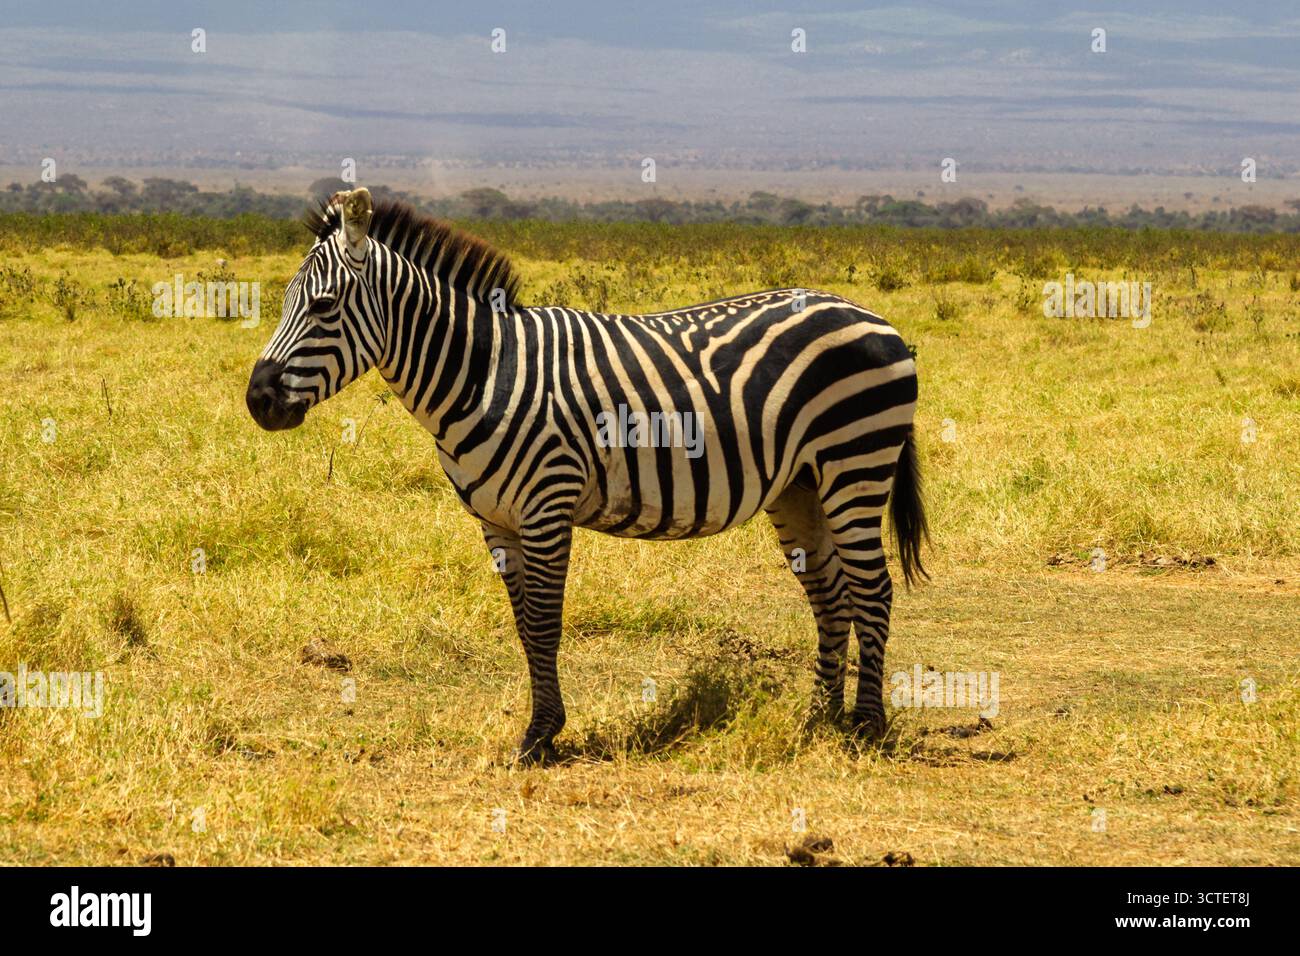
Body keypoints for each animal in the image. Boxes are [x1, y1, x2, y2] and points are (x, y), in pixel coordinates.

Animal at [247, 188, 928, 764]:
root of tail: (875, 316)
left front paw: (540, 736)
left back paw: (866, 728)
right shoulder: (496, 520)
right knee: (831, 593)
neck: (482, 373)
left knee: (873, 589)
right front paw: (541, 728)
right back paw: (820, 719)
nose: (257, 401)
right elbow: (525, 626)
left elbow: (546, 623)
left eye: (323, 306)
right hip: (799, 485)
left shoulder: (547, 504)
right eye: (281, 303)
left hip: (855, 464)